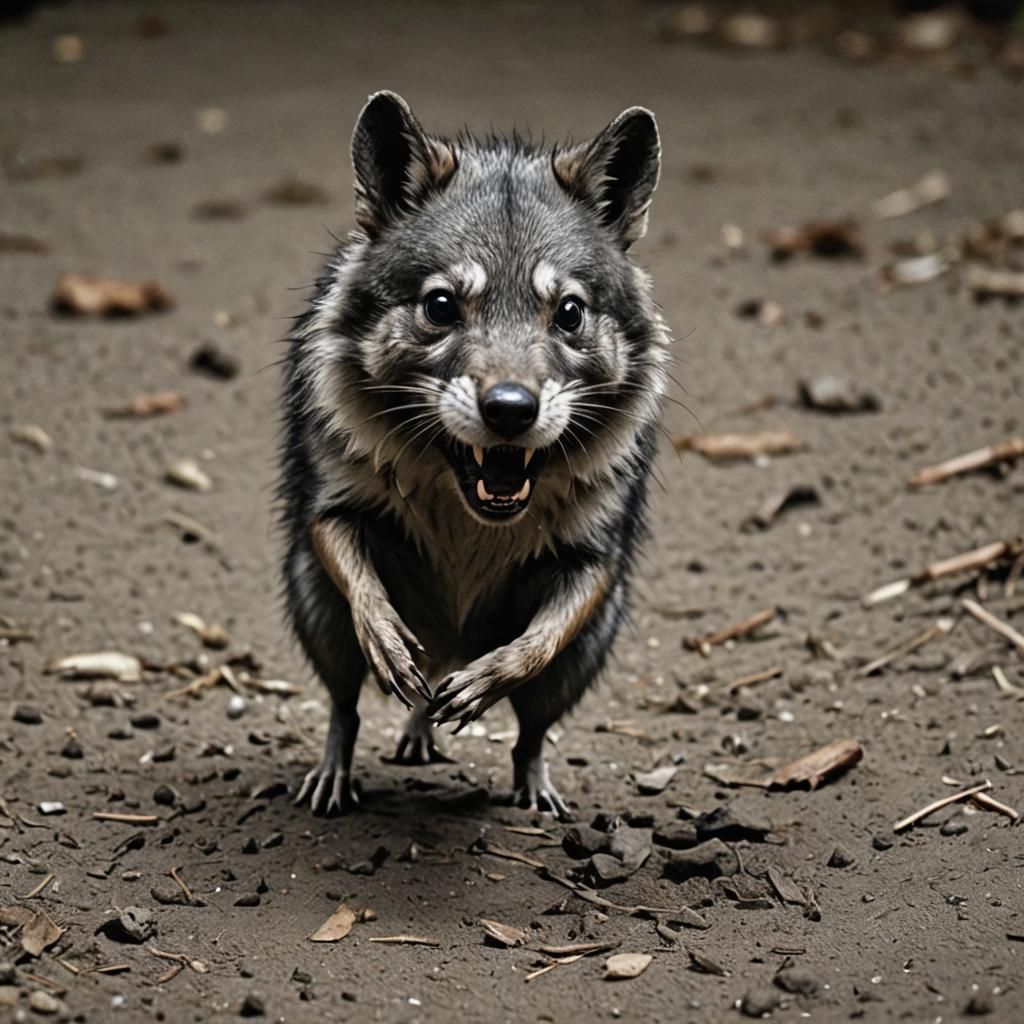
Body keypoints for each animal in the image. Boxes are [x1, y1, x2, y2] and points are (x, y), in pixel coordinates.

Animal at [279, 91, 668, 819]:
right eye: (439, 306)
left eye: (570, 313)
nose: (511, 410)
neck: (468, 507)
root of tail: (450, 640)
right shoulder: (331, 508)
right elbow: (357, 576)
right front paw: (386, 634)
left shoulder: (594, 556)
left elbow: (537, 644)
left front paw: (492, 676)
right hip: (313, 608)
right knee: (346, 706)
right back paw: (342, 763)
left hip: (587, 655)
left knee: (531, 729)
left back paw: (527, 778)